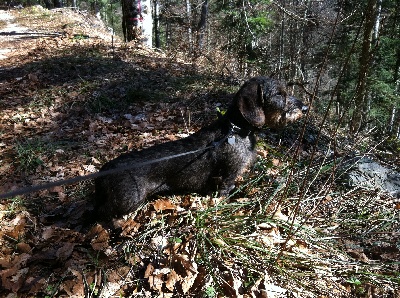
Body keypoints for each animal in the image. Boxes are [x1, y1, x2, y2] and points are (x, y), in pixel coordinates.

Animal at [95, 77, 308, 218]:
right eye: (279, 94)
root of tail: (103, 171)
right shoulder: (228, 175)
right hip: (129, 201)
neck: (236, 130)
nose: (305, 108)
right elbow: (225, 192)